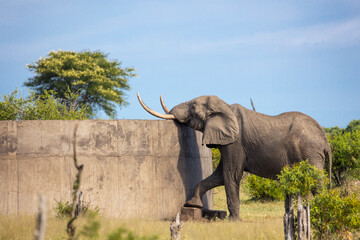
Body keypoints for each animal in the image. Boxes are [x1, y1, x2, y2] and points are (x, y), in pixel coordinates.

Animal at [136, 93, 330, 220]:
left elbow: (231, 174)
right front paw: (193, 205)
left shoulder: (236, 143)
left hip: (310, 152)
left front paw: (233, 220)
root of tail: (325, 140)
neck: (225, 107)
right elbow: (220, 176)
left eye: (192, 107)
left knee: (317, 181)